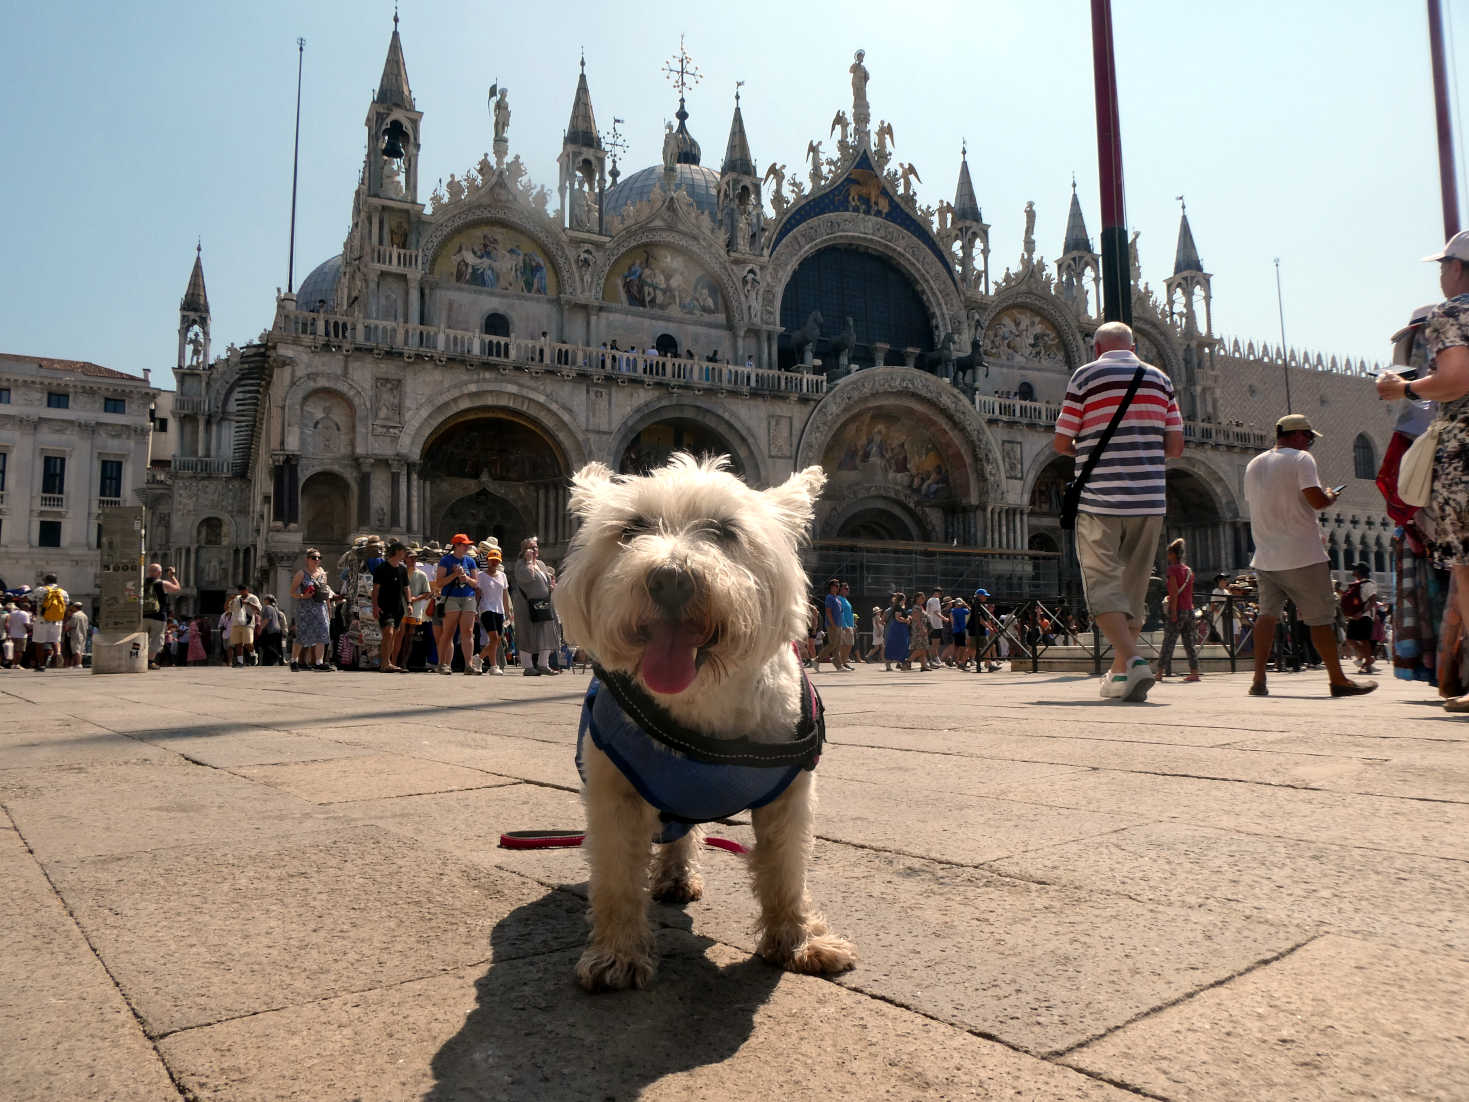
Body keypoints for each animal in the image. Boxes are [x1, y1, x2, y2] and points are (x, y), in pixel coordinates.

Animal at [561, 455, 857, 993]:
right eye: (631, 528)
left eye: (724, 530)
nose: (671, 579)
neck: (701, 702)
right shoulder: (614, 792)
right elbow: (616, 877)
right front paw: (616, 955)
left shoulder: (789, 795)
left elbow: (785, 869)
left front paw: (799, 943)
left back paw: (678, 877)